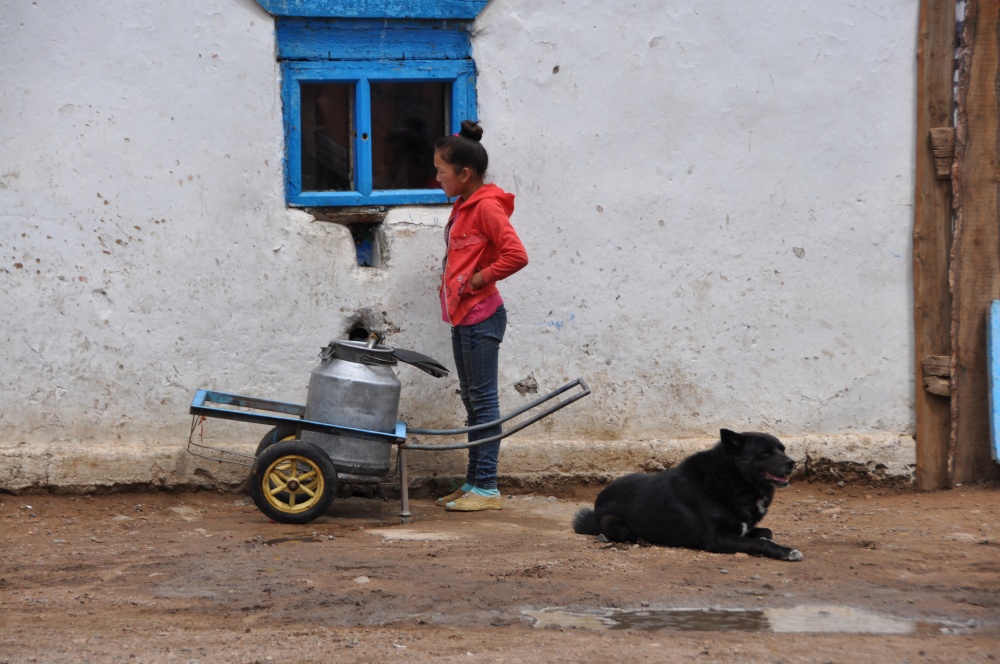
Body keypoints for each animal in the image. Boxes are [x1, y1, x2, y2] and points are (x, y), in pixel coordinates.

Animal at [576, 430, 800, 560]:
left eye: (782, 449)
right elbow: (760, 541)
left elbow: (766, 532)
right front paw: (786, 552)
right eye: (766, 452)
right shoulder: (717, 539)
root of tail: (597, 503)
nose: (792, 463)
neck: (734, 478)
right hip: (614, 523)